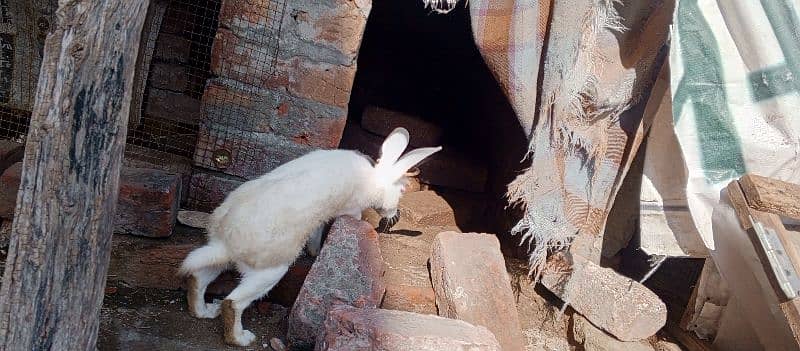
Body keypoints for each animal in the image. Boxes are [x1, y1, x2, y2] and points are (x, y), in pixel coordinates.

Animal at [177, 126, 440, 346]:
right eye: (401, 191)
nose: (395, 215)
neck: (375, 180)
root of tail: (226, 244)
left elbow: (316, 233)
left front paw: (314, 251)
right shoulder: (351, 207)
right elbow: (353, 217)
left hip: (218, 260)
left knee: (198, 279)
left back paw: (203, 311)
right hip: (269, 273)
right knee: (233, 303)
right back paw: (241, 339)